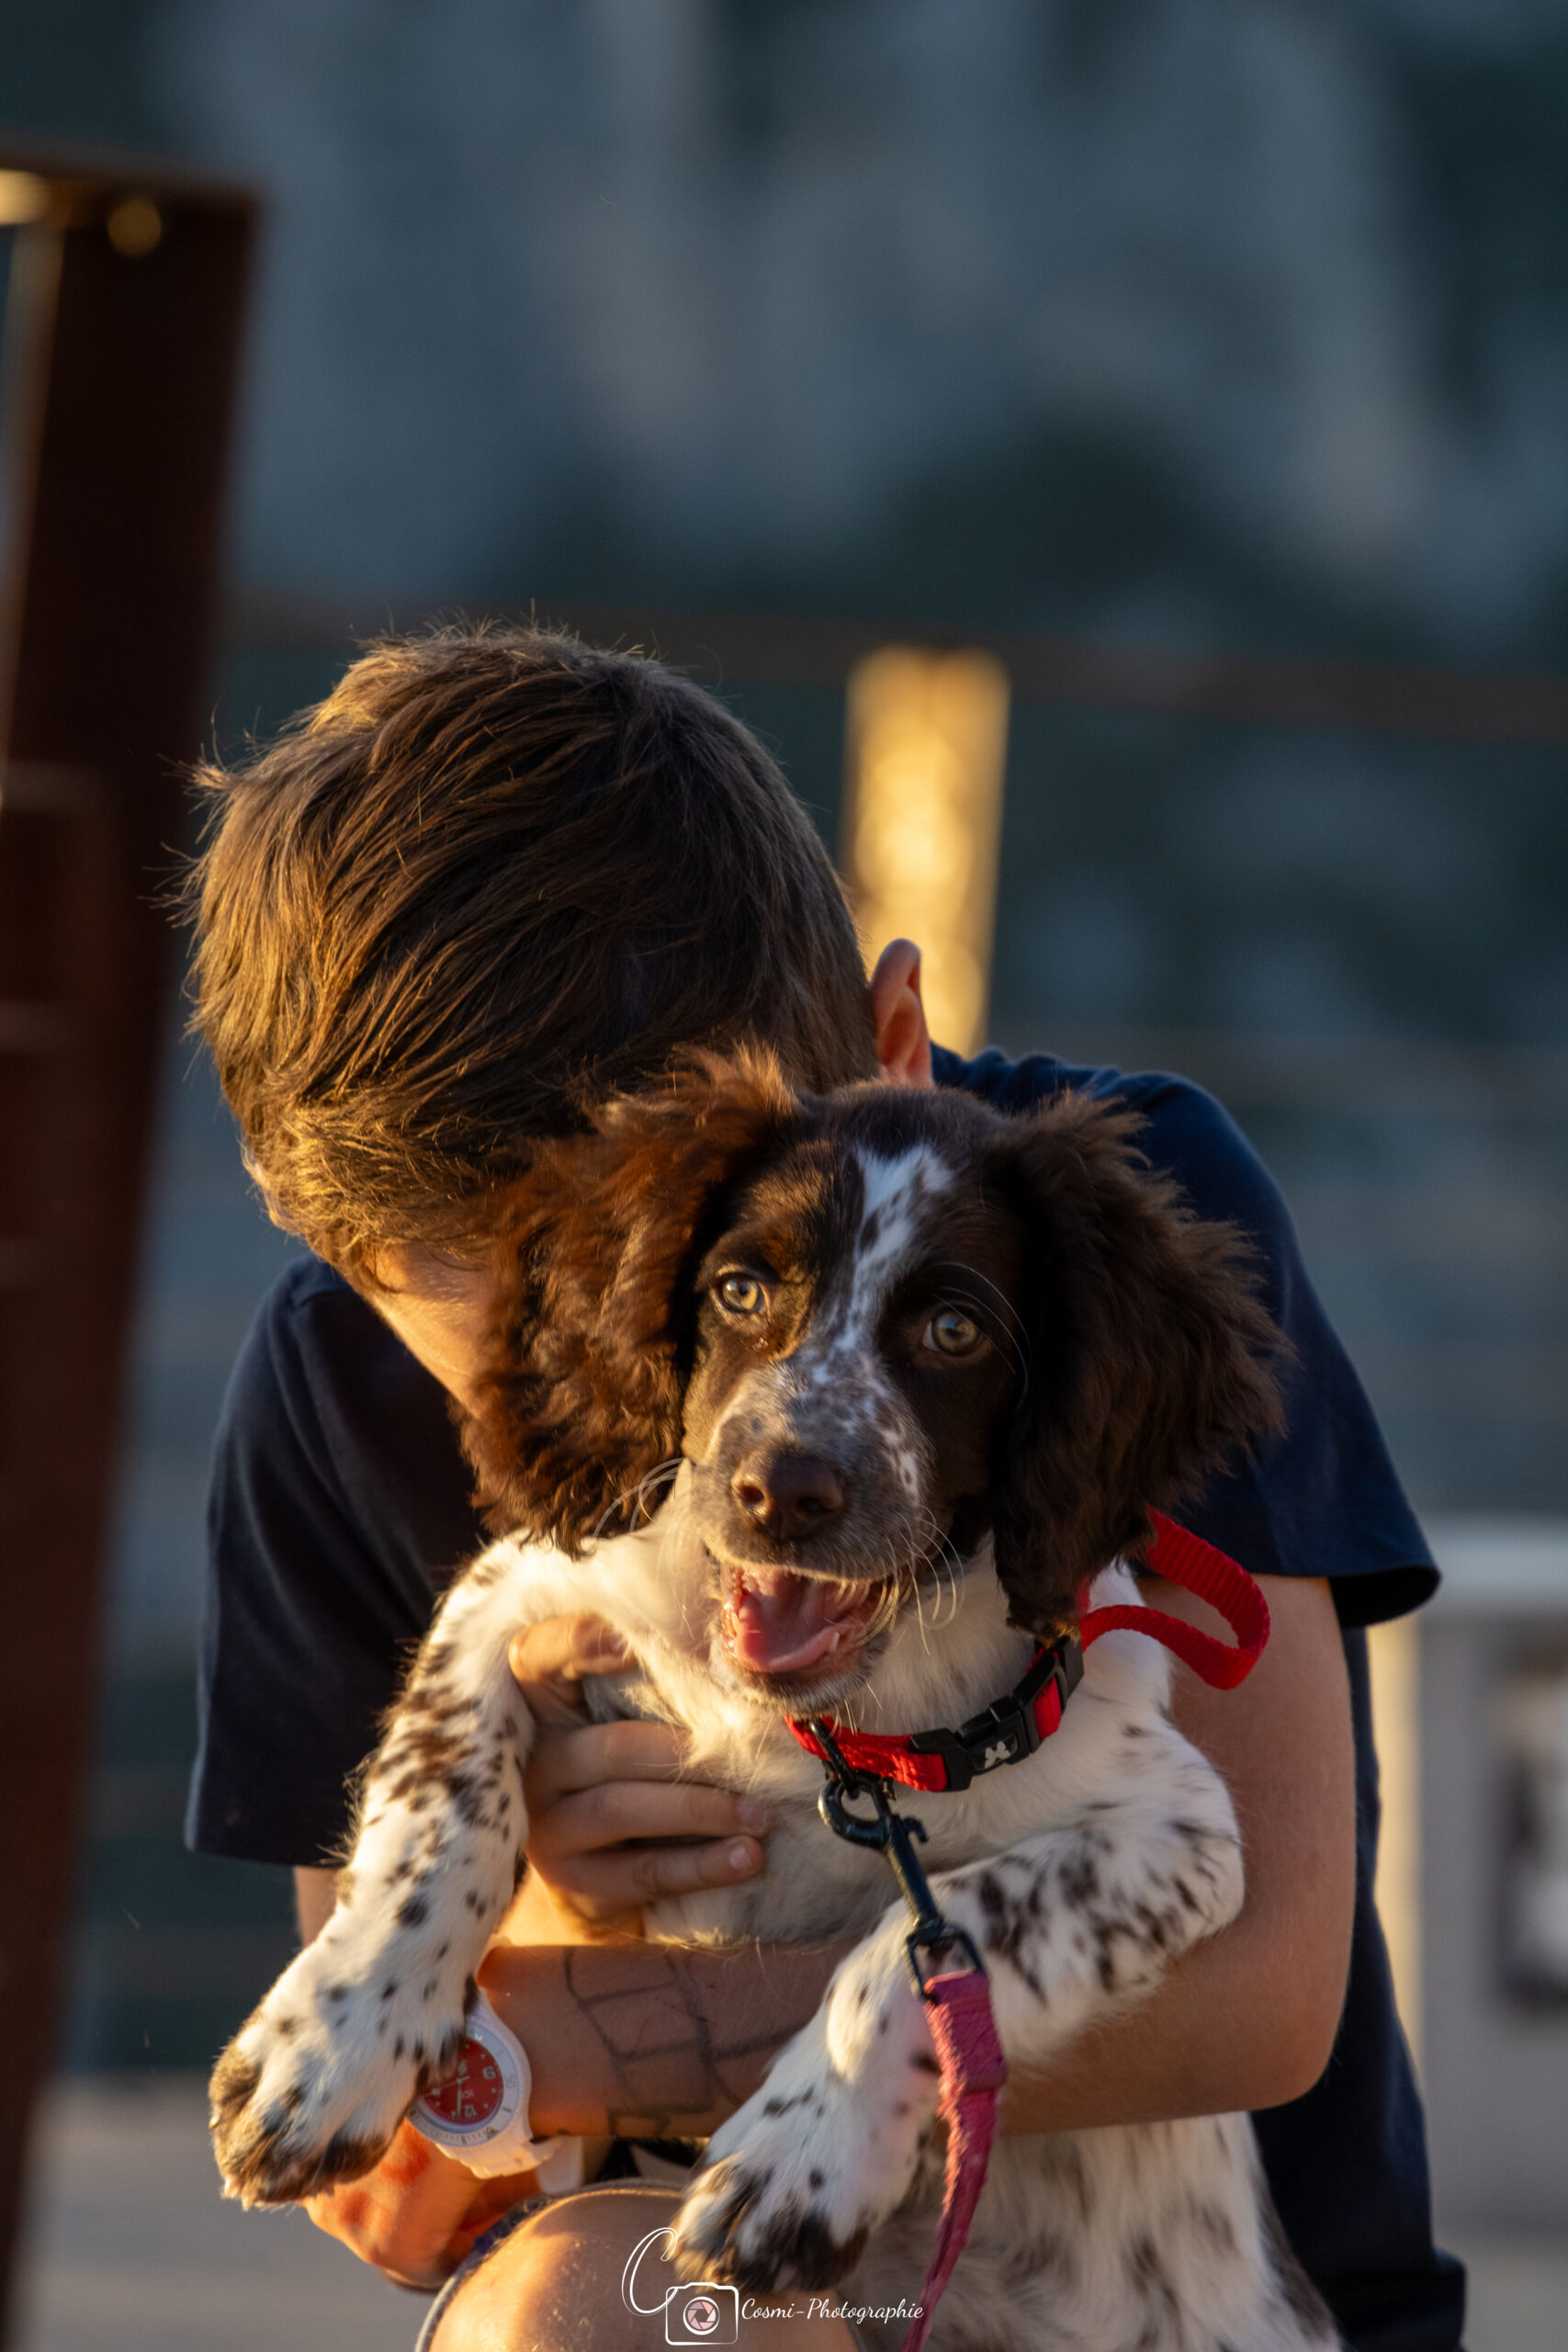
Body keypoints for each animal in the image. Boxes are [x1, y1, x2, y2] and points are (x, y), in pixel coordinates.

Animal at [208, 1063, 1344, 2352]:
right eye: (739, 1290)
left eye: (954, 1331)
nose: (782, 1488)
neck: (832, 1730)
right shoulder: (525, 1589)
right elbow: (438, 1806)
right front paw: (327, 2050)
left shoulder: (1176, 1830)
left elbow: (935, 1921)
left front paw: (800, 2159)